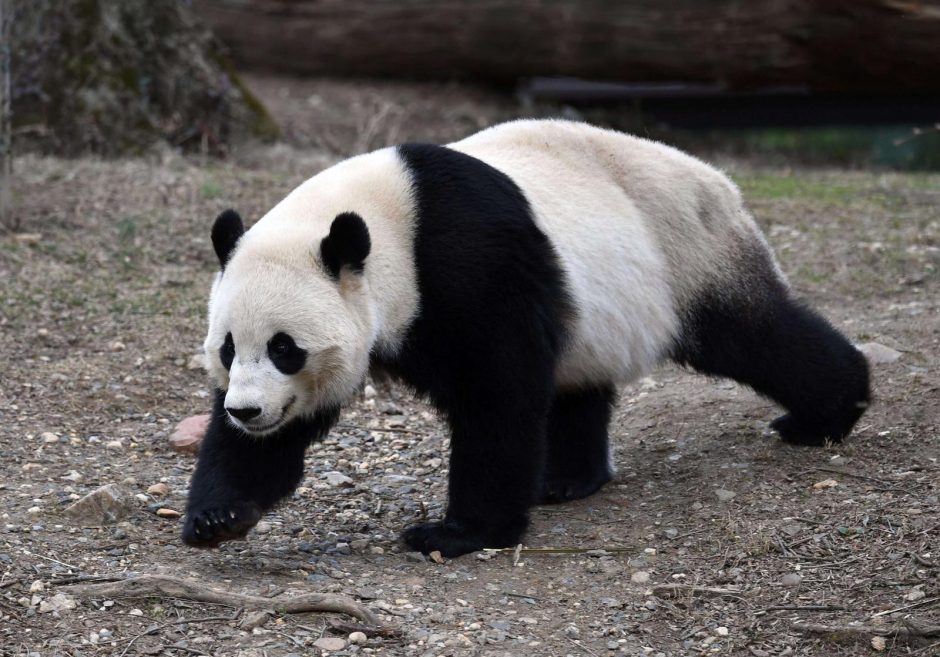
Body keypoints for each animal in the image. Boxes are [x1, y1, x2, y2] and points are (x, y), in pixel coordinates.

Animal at [180, 120, 872, 556]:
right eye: (229, 348)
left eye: (284, 347)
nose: (247, 410)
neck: (389, 222)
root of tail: (717, 178)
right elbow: (278, 439)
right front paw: (219, 515)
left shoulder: (468, 261)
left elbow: (498, 392)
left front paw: (457, 534)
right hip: (601, 310)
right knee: (577, 384)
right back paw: (568, 480)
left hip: (688, 252)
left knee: (757, 336)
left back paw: (829, 412)